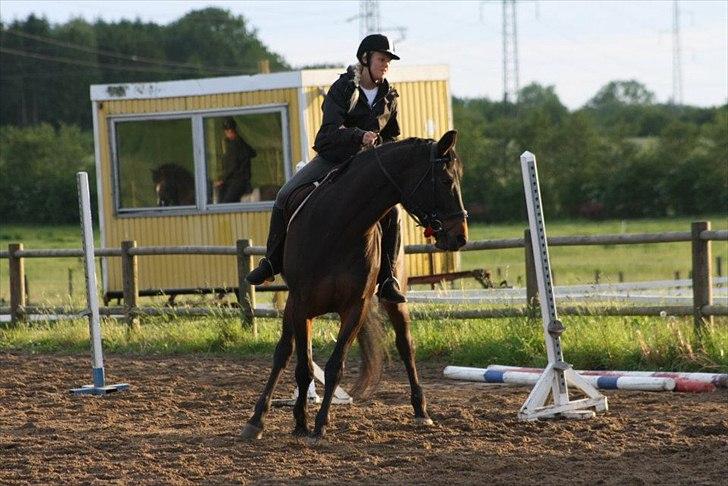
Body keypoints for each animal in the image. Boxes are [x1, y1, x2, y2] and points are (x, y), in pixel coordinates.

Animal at [242, 131, 470, 442]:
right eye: (446, 180)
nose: (460, 237)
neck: (338, 227)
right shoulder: (301, 304)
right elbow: (302, 366)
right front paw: (299, 420)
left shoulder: (355, 308)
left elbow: (335, 366)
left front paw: (319, 424)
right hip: (293, 305)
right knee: (284, 353)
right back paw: (258, 418)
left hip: (393, 300)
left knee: (405, 346)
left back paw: (421, 411)